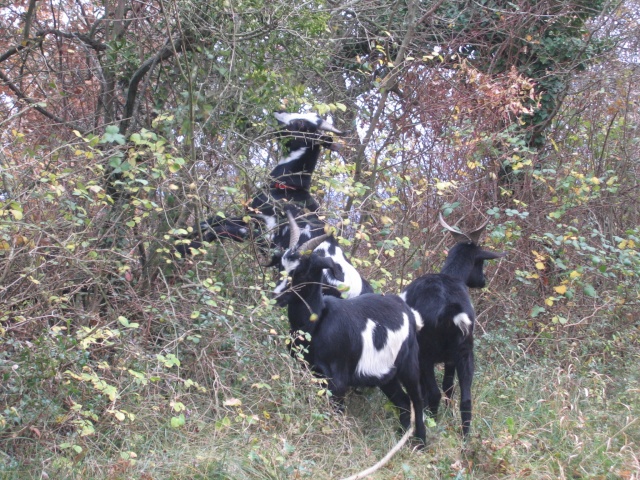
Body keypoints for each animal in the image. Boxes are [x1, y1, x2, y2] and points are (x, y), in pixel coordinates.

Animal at [274, 212, 428, 444]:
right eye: (281, 266)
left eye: (301, 272)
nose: (276, 295)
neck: (316, 323)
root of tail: (408, 312)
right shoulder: (308, 370)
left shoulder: (337, 381)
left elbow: (335, 412)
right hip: (386, 374)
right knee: (402, 401)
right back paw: (400, 436)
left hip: (409, 363)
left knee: (416, 400)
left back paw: (420, 443)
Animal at [400, 215, 504, 438]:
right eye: (481, 261)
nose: (483, 281)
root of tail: (449, 311)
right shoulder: (451, 358)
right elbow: (449, 386)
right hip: (465, 351)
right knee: (465, 398)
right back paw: (465, 438)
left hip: (426, 354)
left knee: (433, 393)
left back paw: (432, 422)